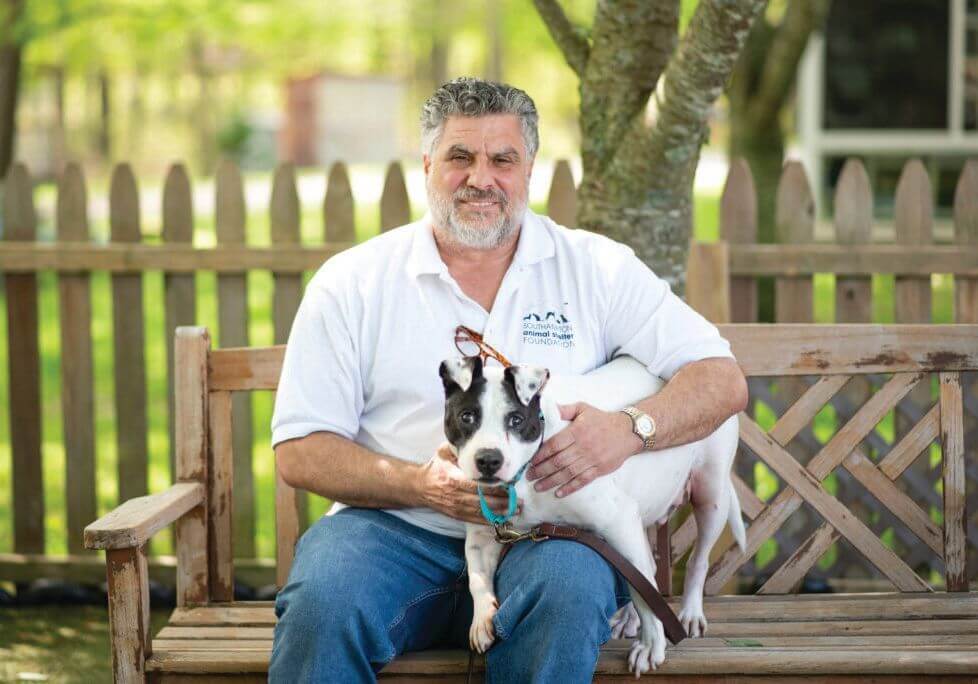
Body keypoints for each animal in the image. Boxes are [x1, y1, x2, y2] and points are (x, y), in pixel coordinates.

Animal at [438, 356, 744, 676]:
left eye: (516, 420)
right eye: (467, 417)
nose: (488, 460)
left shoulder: (618, 519)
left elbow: (643, 594)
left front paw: (651, 646)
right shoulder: (482, 536)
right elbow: (476, 578)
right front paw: (481, 619)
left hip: (710, 494)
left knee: (696, 560)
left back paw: (690, 613)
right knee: (645, 568)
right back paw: (628, 618)